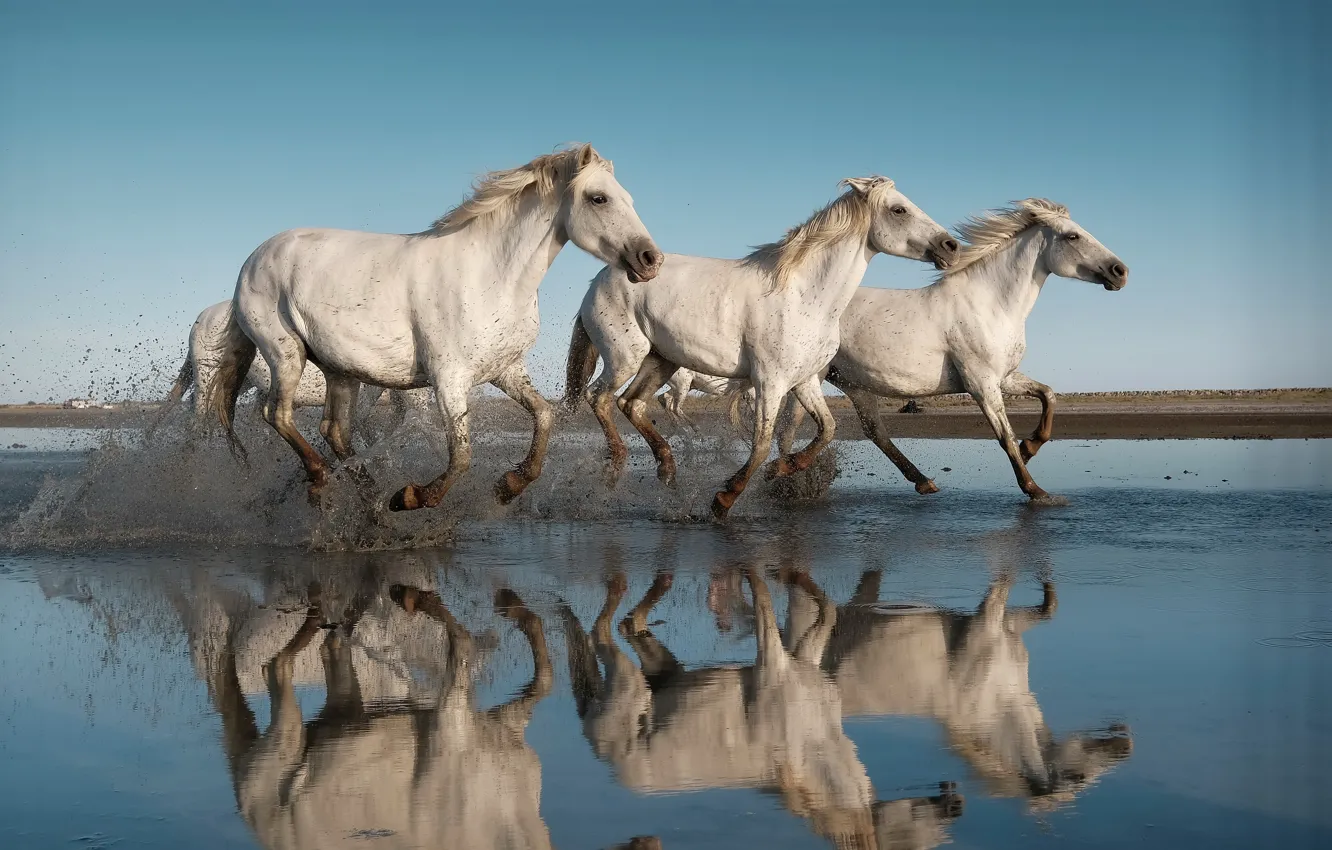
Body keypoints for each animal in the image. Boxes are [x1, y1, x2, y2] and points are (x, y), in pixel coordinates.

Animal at [207, 144, 662, 509]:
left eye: (629, 198)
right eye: (599, 198)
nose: (650, 260)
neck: (491, 274)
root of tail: (252, 259)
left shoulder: (505, 370)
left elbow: (544, 415)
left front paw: (509, 486)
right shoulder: (449, 378)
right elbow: (461, 456)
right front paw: (411, 497)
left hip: (340, 369)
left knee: (334, 432)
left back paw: (371, 502)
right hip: (285, 353)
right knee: (278, 413)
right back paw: (325, 482)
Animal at [563, 176, 957, 519]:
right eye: (899, 209)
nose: (950, 247)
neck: (806, 296)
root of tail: (599, 279)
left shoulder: (804, 380)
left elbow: (826, 428)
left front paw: (782, 468)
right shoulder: (770, 381)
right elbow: (762, 442)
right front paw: (724, 499)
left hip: (662, 361)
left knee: (632, 404)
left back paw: (667, 469)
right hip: (625, 357)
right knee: (600, 397)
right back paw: (616, 468)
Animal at [772, 199, 1128, 500]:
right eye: (1073, 236)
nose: (1120, 271)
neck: (991, 304)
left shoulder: (1005, 377)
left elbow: (1048, 394)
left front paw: (1031, 446)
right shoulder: (981, 383)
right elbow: (1004, 436)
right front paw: (1036, 490)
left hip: (853, 383)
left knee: (873, 431)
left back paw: (922, 481)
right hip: (814, 376)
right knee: (790, 428)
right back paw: (785, 475)